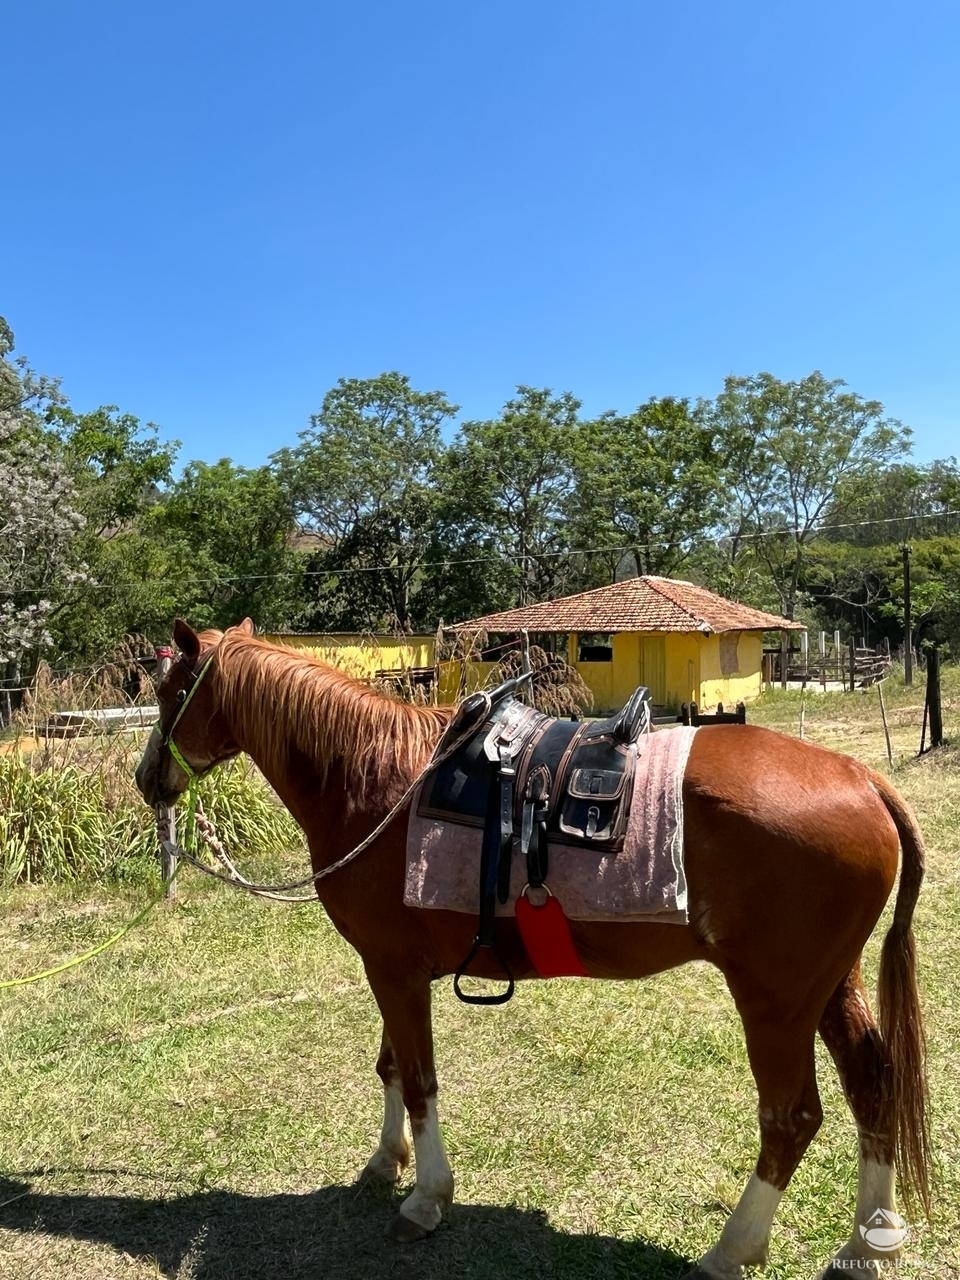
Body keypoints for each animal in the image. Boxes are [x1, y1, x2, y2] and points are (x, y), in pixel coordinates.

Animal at [135, 616, 931, 1269]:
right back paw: (867, 1245)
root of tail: (862, 779)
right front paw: (385, 1161)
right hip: (828, 985)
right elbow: (391, 1067)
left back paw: (731, 1250)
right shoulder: (389, 968)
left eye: (172, 691)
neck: (373, 777)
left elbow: (418, 1079)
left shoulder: (393, 969)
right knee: (874, 1087)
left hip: (775, 997)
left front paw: (426, 1197)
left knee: (791, 1119)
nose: (148, 779)